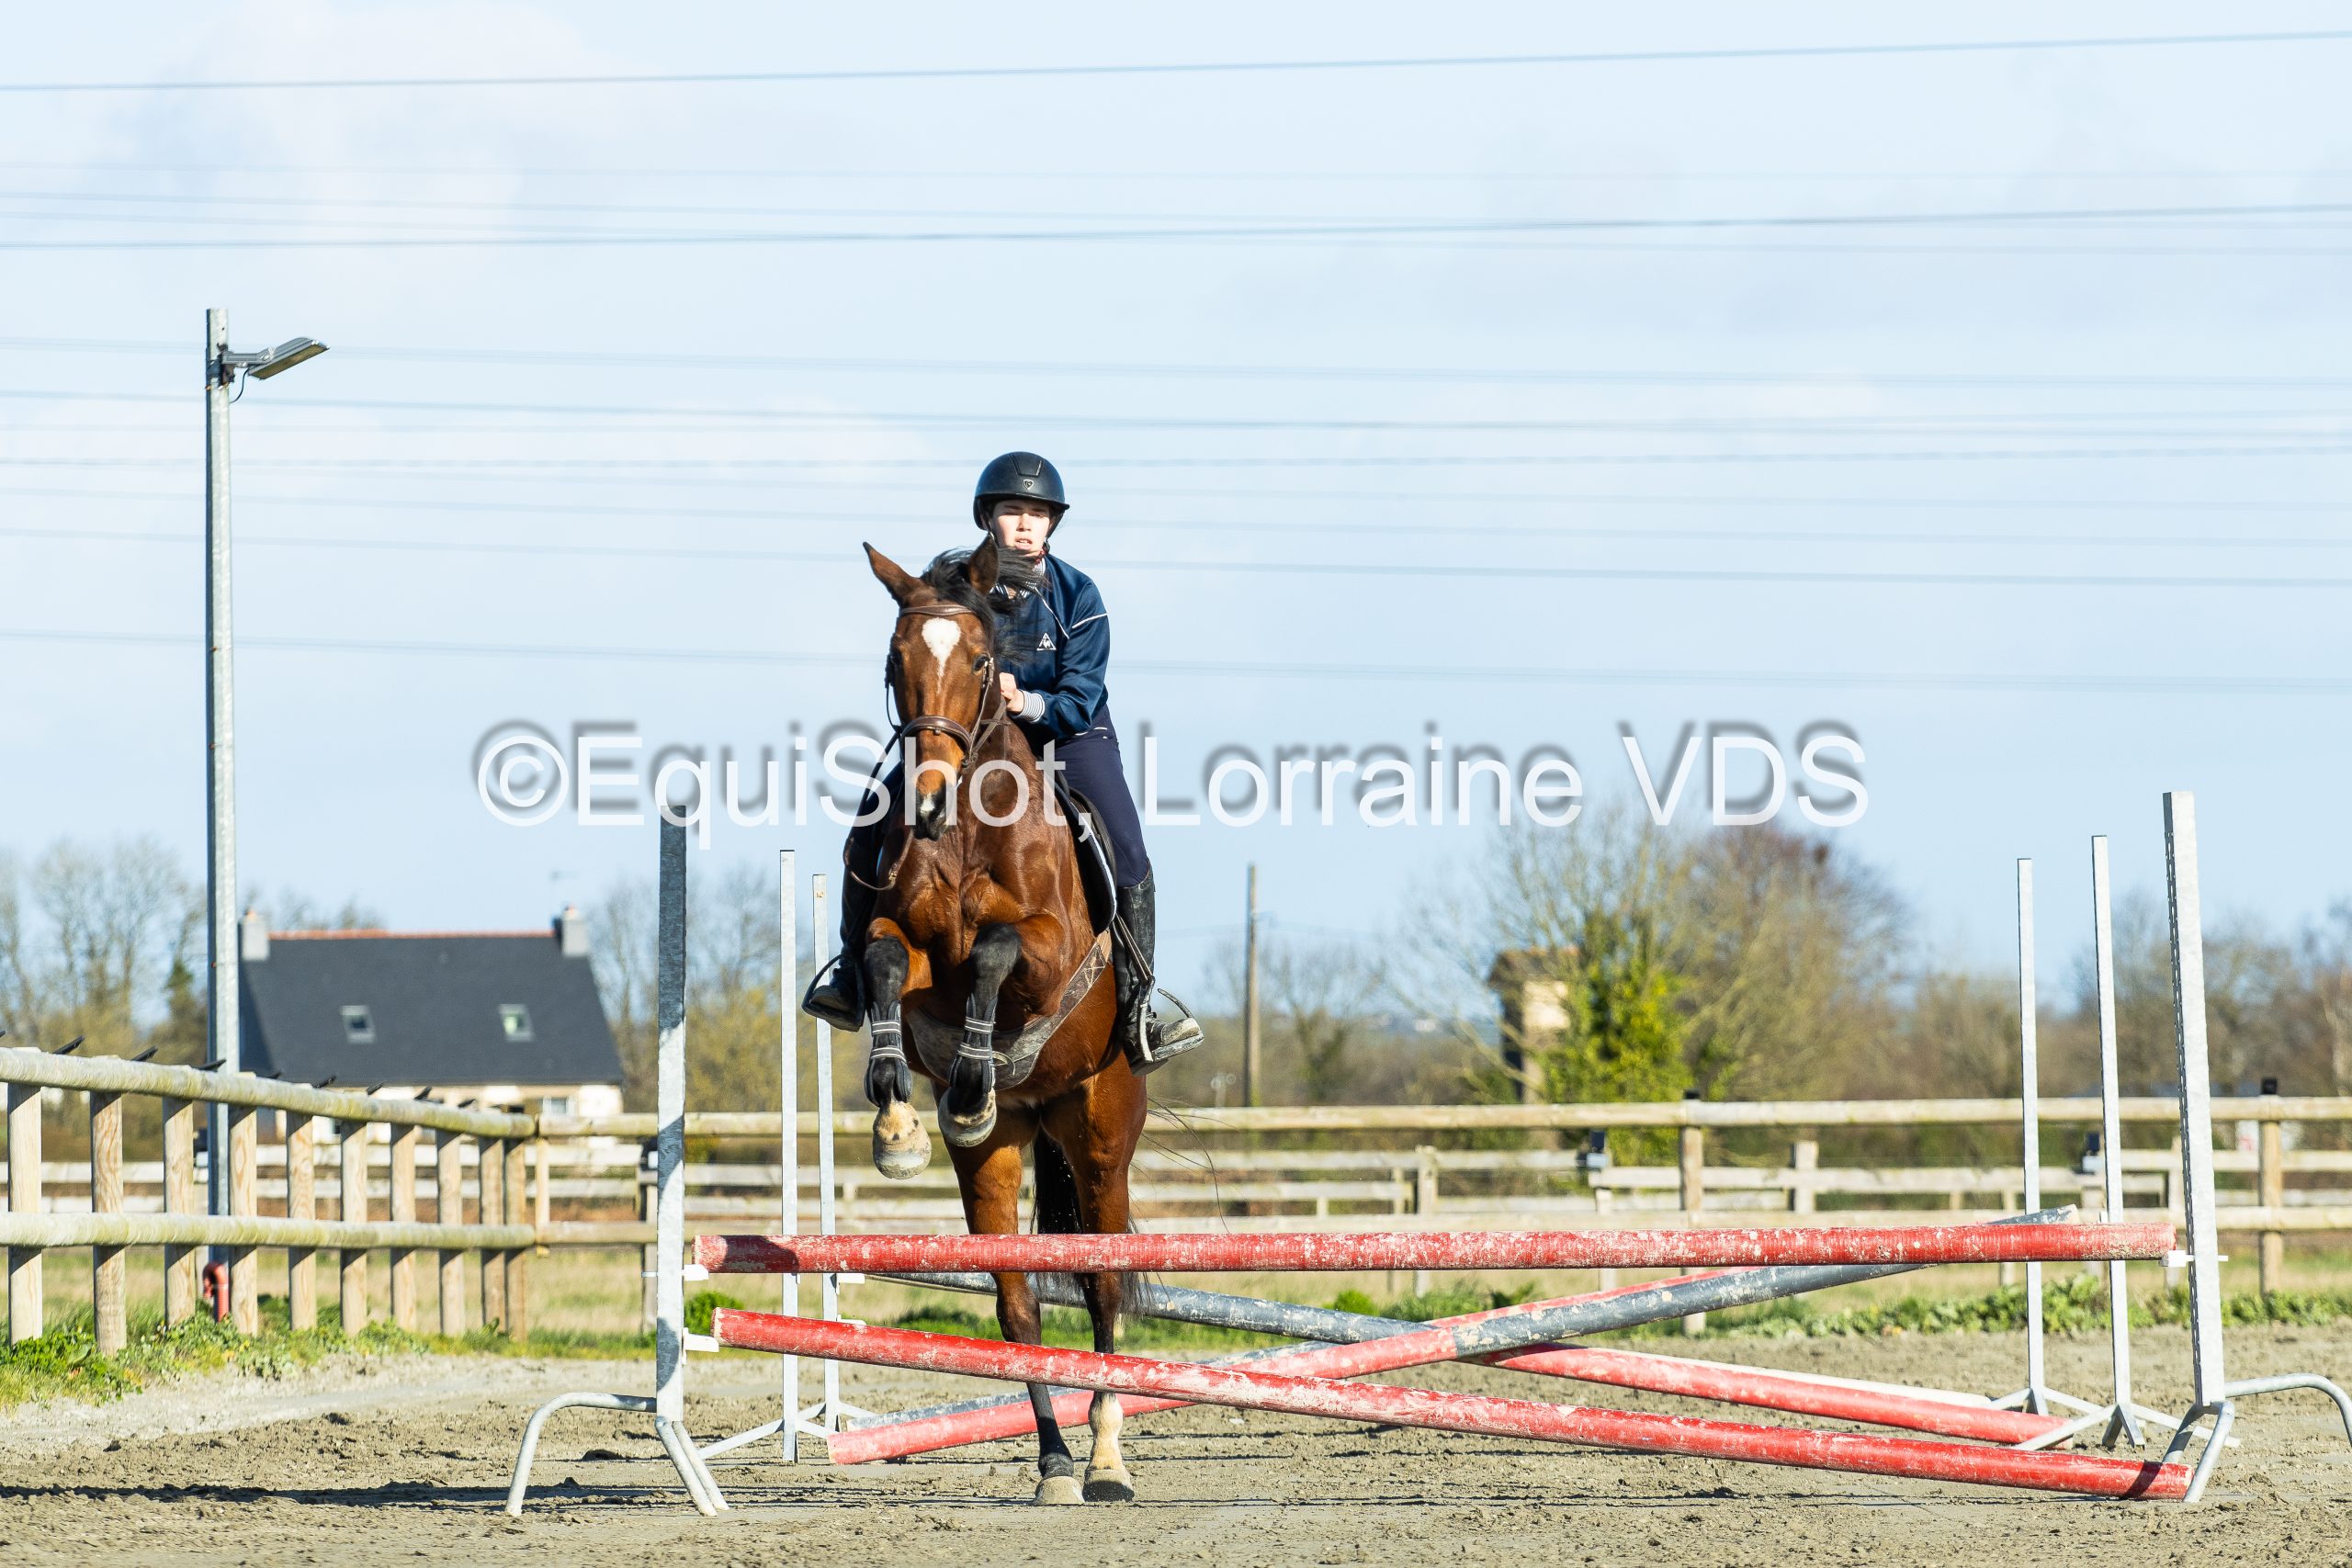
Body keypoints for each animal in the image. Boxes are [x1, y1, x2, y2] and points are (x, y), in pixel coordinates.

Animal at [852, 537, 1145, 1506]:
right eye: (895, 661)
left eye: (982, 663)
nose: (928, 801)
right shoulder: (898, 941)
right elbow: (883, 962)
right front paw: (897, 1115)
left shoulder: (1049, 951)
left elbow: (996, 949)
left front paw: (974, 1074)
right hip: (1000, 1156)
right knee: (1018, 1304)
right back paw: (1053, 1462)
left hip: (1098, 1132)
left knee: (1102, 1288)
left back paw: (1105, 1460)